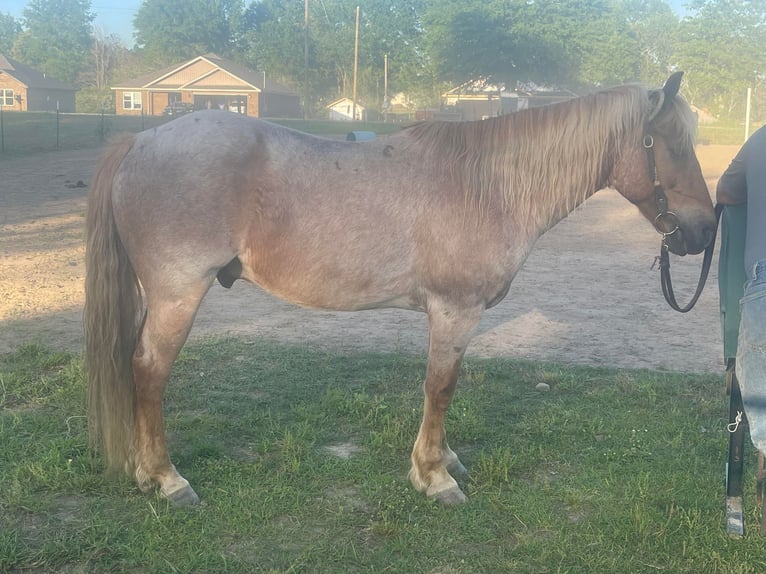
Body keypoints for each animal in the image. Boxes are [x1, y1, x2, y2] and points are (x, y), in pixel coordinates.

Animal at [84, 73, 720, 508]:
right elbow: (441, 387)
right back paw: (167, 479)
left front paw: (444, 461)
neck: (487, 186)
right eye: (670, 143)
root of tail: (140, 142)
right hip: (177, 296)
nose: (704, 231)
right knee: (149, 372)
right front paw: (434, 476)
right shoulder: (456, 310)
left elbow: (443, 386)